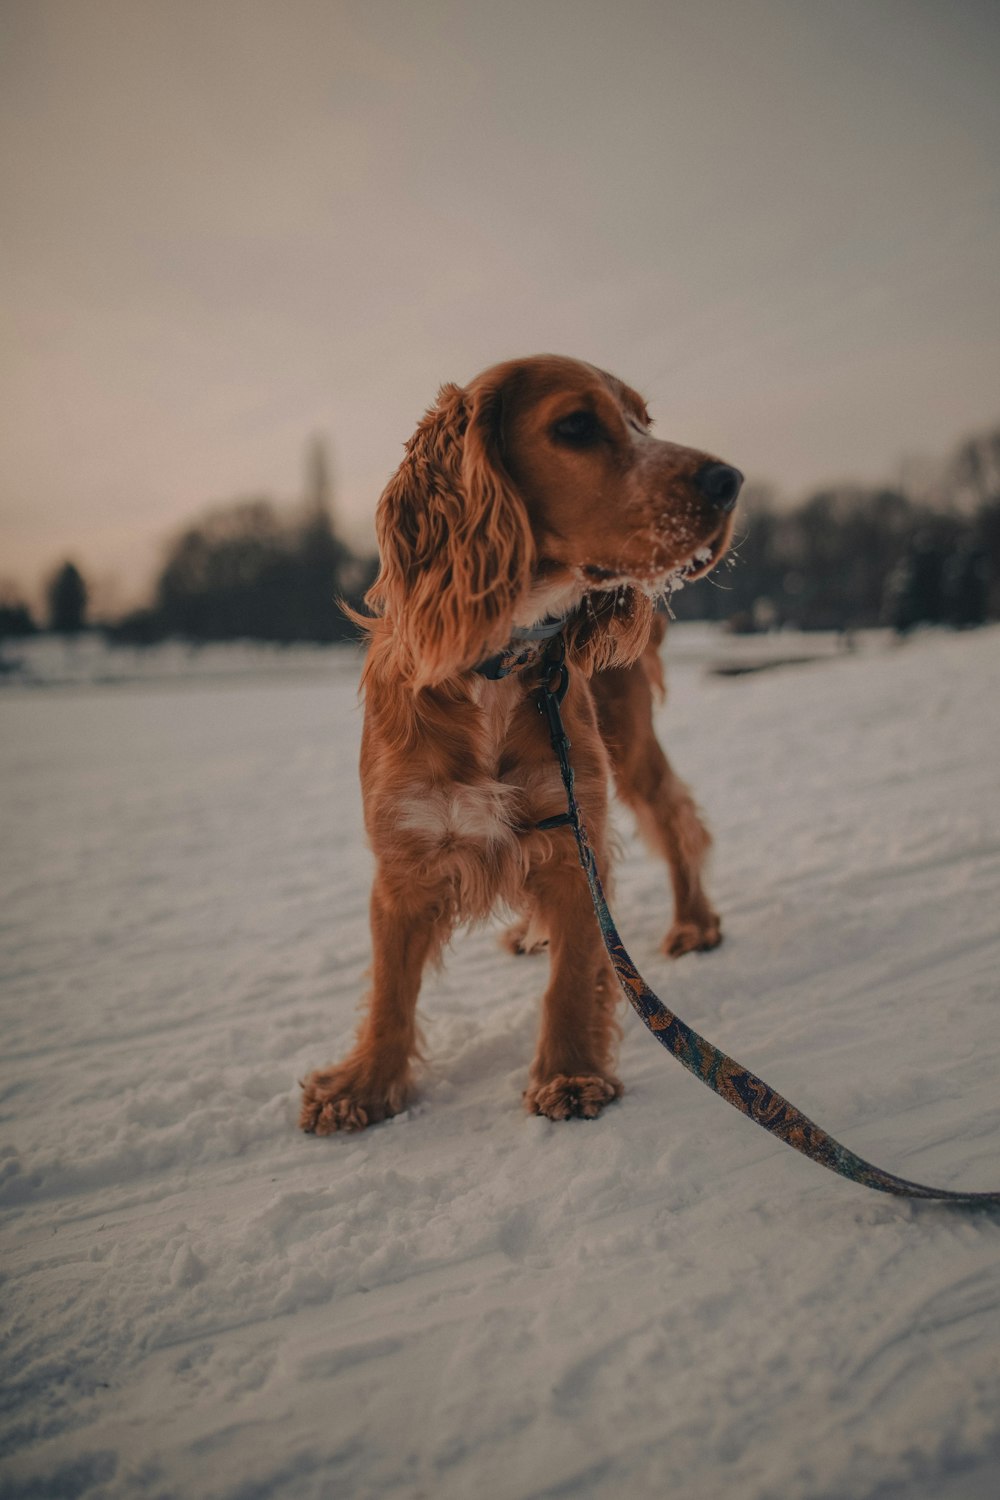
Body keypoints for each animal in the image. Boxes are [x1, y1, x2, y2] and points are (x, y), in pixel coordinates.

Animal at [301, 351, 740, 1128]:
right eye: (576, 426)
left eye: (644, 421)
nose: (730, 481)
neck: (498, 665)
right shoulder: (404, 858)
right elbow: (390, 991)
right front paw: (363, 1087)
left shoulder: (573, 835)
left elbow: (574, 975)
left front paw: (569, 1075)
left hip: (628, 746)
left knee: (675, 817)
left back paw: (693, 923)